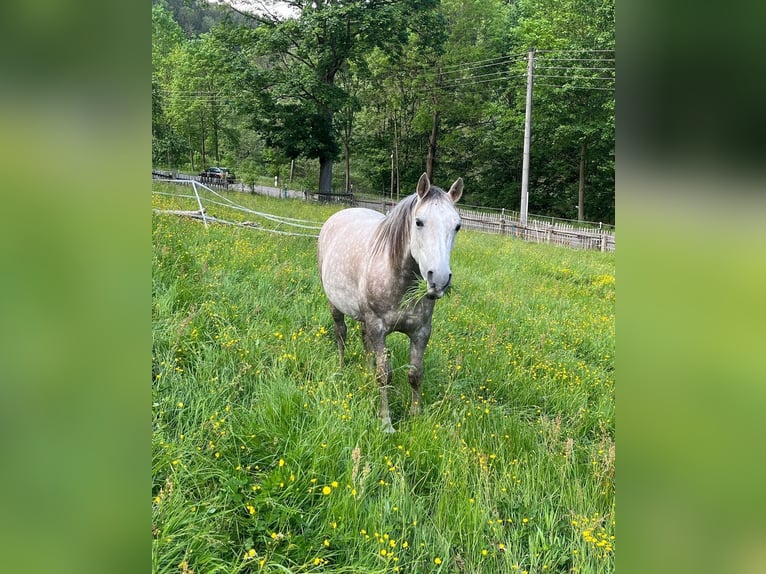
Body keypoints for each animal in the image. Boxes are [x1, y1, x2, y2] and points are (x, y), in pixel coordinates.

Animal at [316, 173, 462, 434]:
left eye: (457, 226)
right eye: (419, 222)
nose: (439, 280)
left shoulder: (421, 331)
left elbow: (416, 374)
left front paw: (415, 416)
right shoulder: (379, 327)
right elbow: (385, 375)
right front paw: (386, 423)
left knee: (364, 340)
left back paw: (366, 370)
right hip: (335, 305)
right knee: (341, 334)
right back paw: (342, 369)